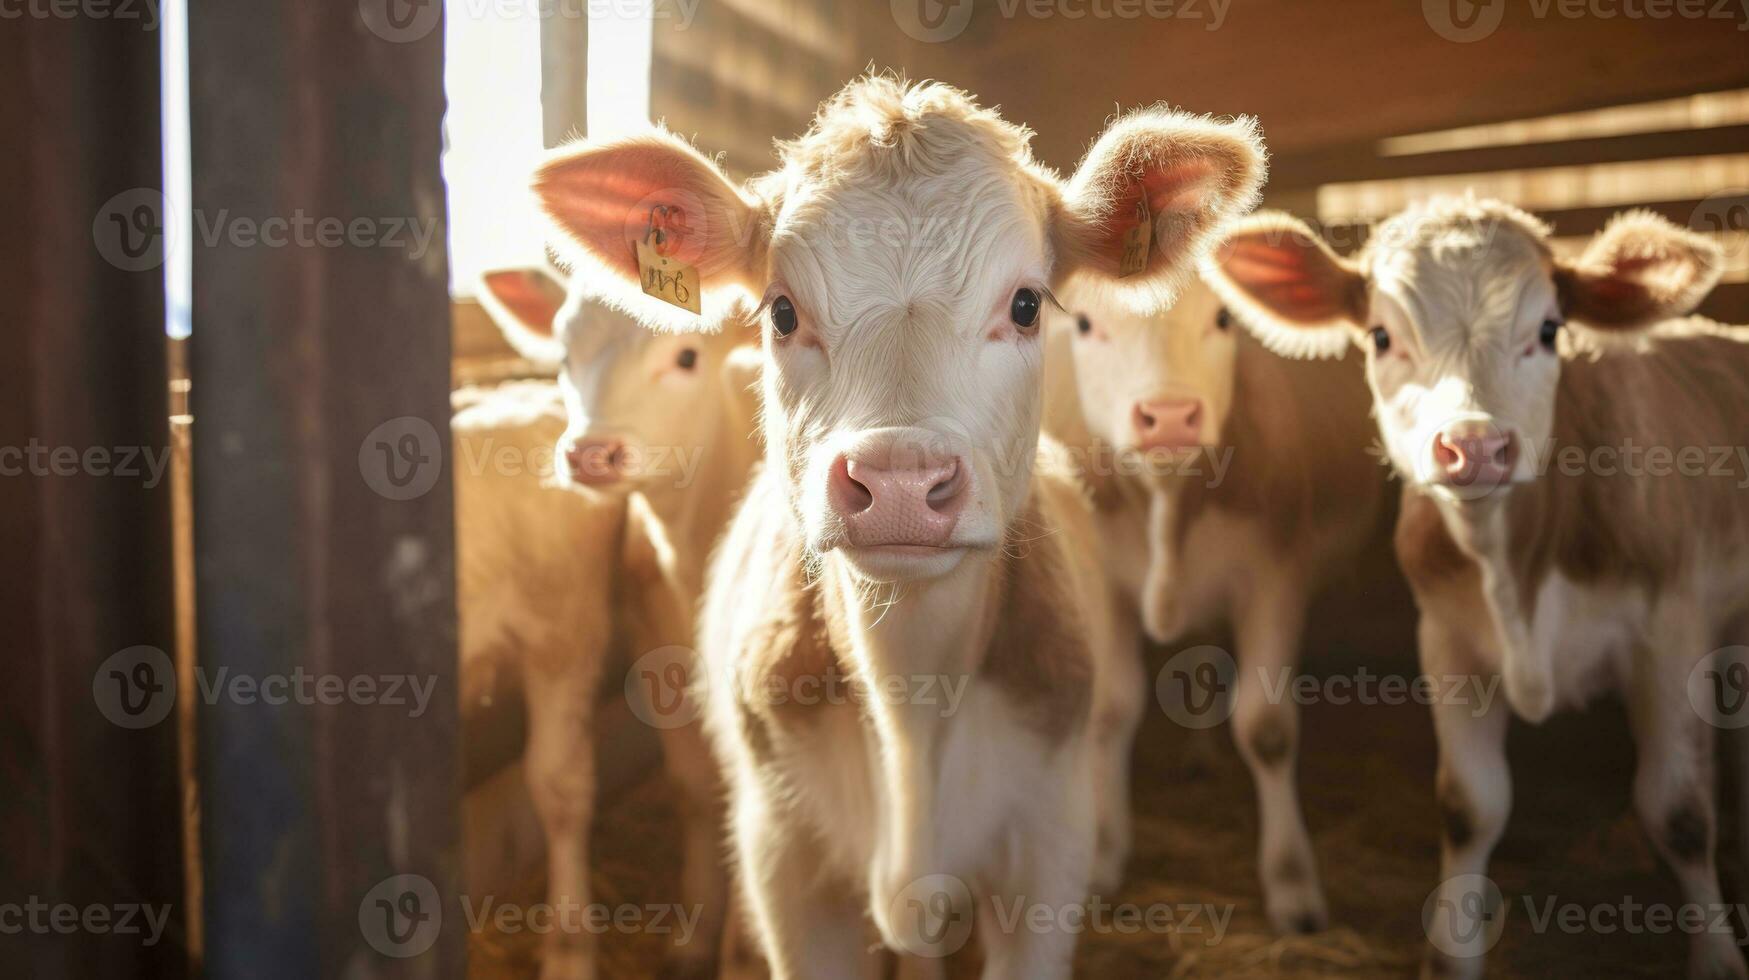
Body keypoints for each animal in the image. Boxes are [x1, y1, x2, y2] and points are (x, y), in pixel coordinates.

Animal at [468, 269, 762, 980]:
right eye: (564, 354)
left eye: (686, 357)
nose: (589, 455)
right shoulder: (664, 659)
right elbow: (694, 787)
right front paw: (695, 935)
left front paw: (744, 951)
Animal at [524, 76, 1266, 980]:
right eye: (780, 312)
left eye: (1026, 305)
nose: (901, 483)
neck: (912, 695)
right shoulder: (783, 861)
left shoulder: (1049, 846)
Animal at [1042, 276, 1385, 931]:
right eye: (1086, 325)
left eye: (1223, 319)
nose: (1170, 416)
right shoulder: (1102, 582)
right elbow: (1110, 709)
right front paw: (1103, 853)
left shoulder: (1275, 575)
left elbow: (1266, 728)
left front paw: (1291, 882)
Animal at [1210, 201, 1749, 980]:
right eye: (1381, 335)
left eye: (1549, 330)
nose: (1474, 448)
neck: (1512, 570)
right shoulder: (1448, 643)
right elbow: (1470, 806)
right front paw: (1451, 957)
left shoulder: (1670, 635)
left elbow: (1678, 813)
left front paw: (1716, 958)